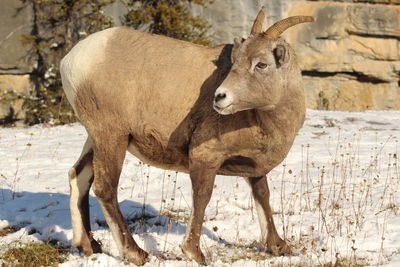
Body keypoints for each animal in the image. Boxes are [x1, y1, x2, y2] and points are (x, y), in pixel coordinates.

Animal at [61, 7, 314, 266]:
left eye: (262, 64)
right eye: (236, 61)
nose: (219, 97)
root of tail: (71, 60)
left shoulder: (254, 167)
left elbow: (263, 195)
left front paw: (279, 246)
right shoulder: (205, 157)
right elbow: (202, 197)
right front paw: (194, 253)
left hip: (95, 139)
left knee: (78, 177)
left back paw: (89, 246)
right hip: (112, 137)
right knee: (105, 188)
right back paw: (136, 253)